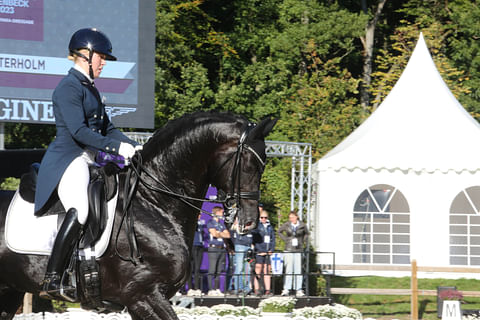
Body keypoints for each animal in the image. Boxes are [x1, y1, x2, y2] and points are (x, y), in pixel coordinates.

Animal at [0, 111, 276, 318]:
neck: (153, 202)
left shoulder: (144, 299)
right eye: (250, 165)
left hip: (9, 292)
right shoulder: (143, 295)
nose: (249, 222)